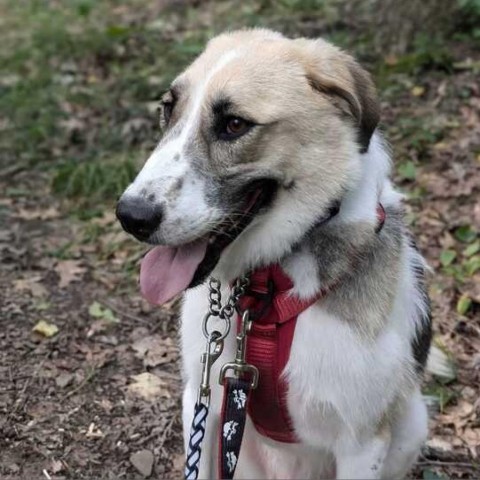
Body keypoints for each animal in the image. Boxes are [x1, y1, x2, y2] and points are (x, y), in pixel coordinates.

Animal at [115, 29, 438, 476]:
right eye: (168, 109)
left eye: (234, 125)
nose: (131, 216)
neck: (265, 291)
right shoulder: (201, 399)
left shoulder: (362, 442)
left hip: (411, 424)